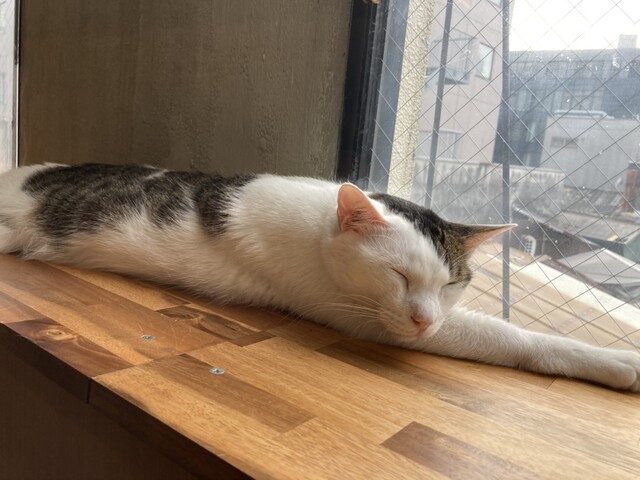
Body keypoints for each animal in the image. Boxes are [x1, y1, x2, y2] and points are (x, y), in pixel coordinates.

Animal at [0, 163, 638, 391]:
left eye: (451, 284)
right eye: (399, 276)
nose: (425, 320)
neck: (321, 229)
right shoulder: (364, 316)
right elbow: (507, 336)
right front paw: (616, 363)